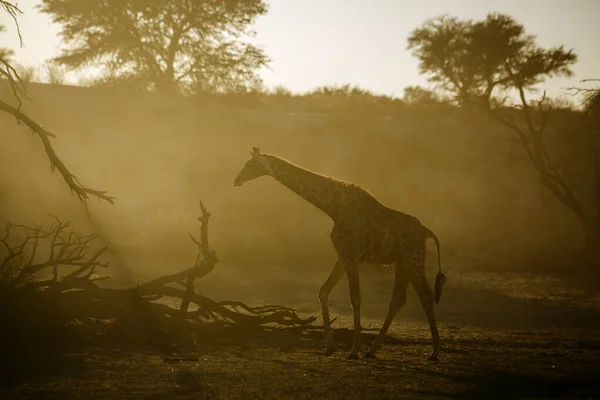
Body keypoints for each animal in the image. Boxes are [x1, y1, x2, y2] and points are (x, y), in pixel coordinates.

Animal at [234, 148, 446, 360]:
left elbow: (355, 297)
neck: (333, 207)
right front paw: (330, 347)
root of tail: (426, 232)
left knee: (424, 295)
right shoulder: (343, 255)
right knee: (402, 298)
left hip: (412, 260)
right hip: (402, 263)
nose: (236, 180)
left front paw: (353, 350)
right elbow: (323, 291)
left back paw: (433, 351)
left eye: (249, 165)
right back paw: (375, 350)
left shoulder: (349, 253)